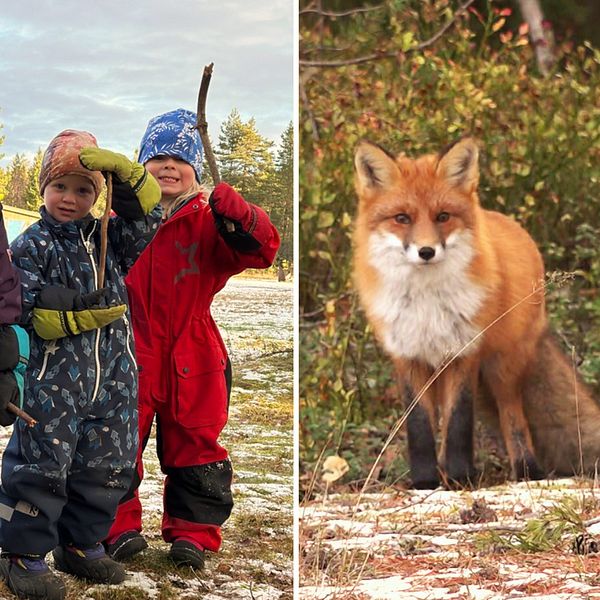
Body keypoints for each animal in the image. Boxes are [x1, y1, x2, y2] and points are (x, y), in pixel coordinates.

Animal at [352, 137, 600, 488]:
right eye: (402, 218)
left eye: (443, 216)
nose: (426, 251)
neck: (427, 304)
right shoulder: (408, 358)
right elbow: (420, 428)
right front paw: (426, 482)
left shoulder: (464, 353)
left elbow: (459, 422)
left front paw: (460, 478)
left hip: (502, 366)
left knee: (513, 416)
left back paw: (527, 470)